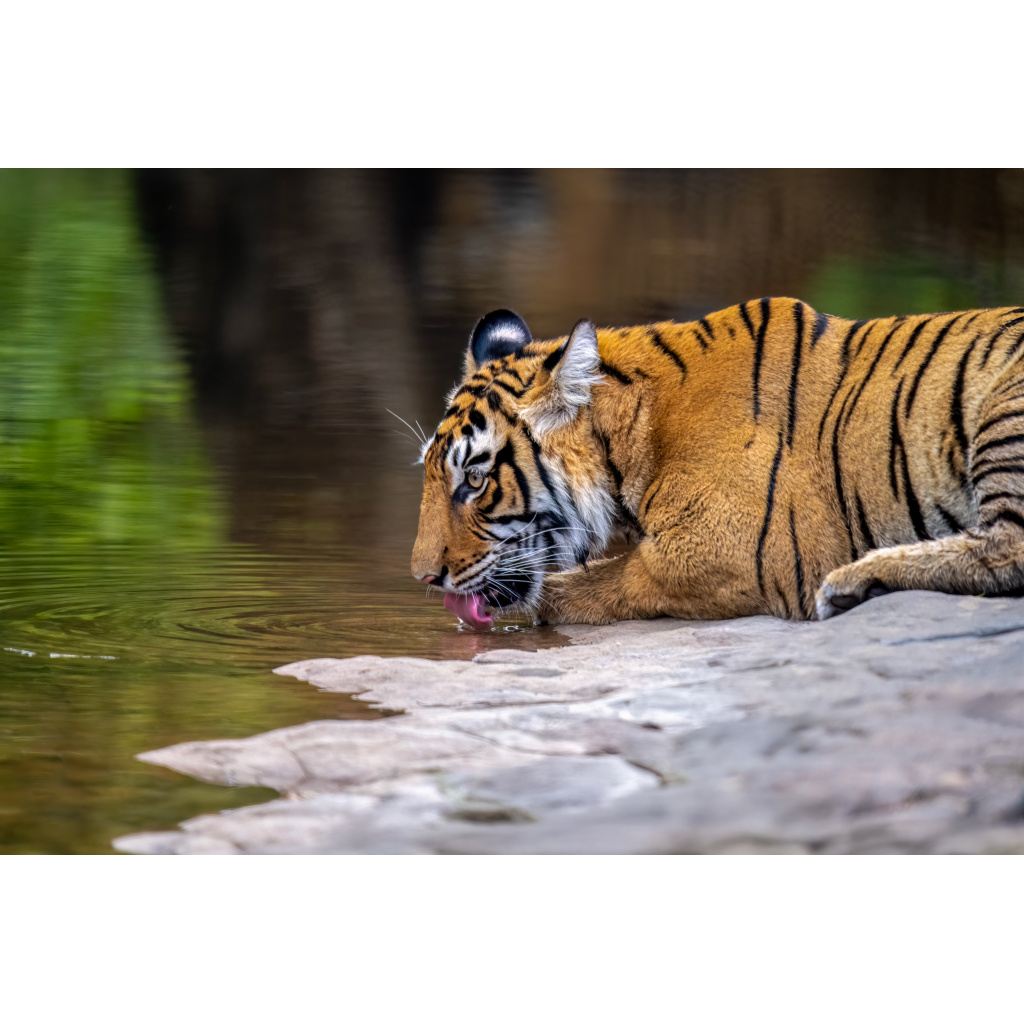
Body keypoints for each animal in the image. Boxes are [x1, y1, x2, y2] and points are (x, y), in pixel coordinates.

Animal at [411, 299, 1024, 626]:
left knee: (1007, 550)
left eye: (474, 479)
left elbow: (597, 582)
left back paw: (854, 581)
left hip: (1005, 410)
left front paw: (553, 599)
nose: (422, 578)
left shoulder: (740, 549)